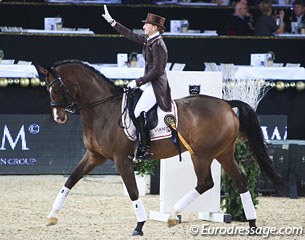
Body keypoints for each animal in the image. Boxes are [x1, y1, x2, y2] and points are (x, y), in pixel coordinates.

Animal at [36, 60, 286, 236]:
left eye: (57, 88)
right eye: (47, 88)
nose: (58, 117)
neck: (103, 110)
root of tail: (226, 103)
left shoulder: (121, 159)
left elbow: (133, 191)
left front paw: (139, 226)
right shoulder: (94, 156)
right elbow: (70, 180)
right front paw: (51, 215)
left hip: (202, 155)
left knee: (206, 183)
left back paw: (174, 215)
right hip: (223, 153)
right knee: (240, 182)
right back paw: (252, 224)